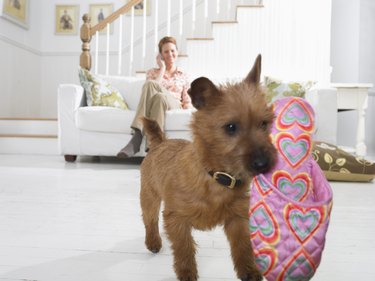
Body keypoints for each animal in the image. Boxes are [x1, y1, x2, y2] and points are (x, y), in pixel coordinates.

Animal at [140, 54, 276, 280]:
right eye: (231, 127)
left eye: (264, 124)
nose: (263, 163)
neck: (216, 177)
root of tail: (161, 141)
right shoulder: (177, 220)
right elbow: (184, 250)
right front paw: (187, 273)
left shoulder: (238, 219)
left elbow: (243, 248)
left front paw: (249, 271)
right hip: (149, 198)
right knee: (149, 220)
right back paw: (153, 241)